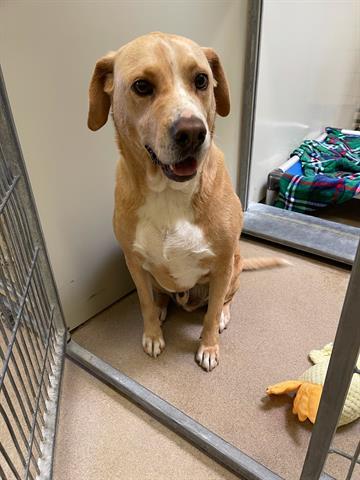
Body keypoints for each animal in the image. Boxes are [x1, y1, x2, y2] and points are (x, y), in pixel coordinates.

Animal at [88, 32, 284, 372]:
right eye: (142, 86)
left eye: (201, 80)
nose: (192, 133)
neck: (169, 192)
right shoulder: (134, 263)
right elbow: (144, 303)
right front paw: (153, 334)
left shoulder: (221, 265)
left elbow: (211, 313)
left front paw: (209, 346)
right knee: (159, 297)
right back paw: (162, 307)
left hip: (234, 267)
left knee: (224, 300)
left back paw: (222, 315)